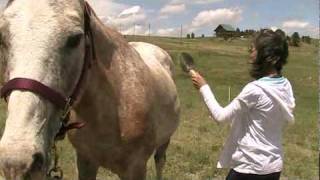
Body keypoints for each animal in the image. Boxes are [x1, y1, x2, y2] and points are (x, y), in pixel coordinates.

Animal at [0, 0, 179, 179]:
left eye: (75, 39)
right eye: (2, 38)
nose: (17, 161)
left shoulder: (136, 168)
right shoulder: (85, 161)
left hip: (164, 142)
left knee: (160, 162)